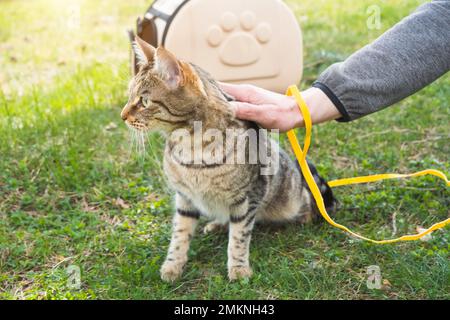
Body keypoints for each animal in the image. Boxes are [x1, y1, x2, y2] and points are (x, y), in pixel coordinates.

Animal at [119, 37, 334, 282]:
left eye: (144, 101)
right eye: (129, 96)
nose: (122, 115)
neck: (190, 147)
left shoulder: (248, 197)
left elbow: (239, 237)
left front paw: (238, 268)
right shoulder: (185, 198)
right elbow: (179, 234)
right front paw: (173, 265)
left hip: (290, 199)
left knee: (310, 198)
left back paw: (305, 216)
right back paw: (217, 224)